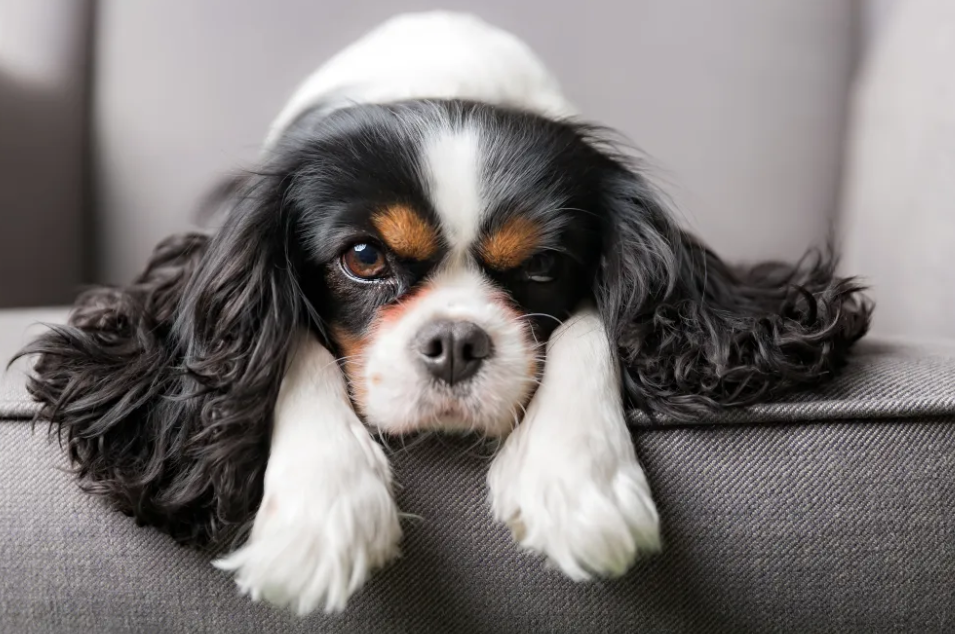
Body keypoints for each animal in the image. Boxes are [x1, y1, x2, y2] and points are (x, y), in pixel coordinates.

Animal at [22, 9, 872, 612]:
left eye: (542, 267)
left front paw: (576, 479)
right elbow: (290, 338)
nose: (457, 343)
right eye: (364, 258)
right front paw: (321, 511)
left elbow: (593, 324)